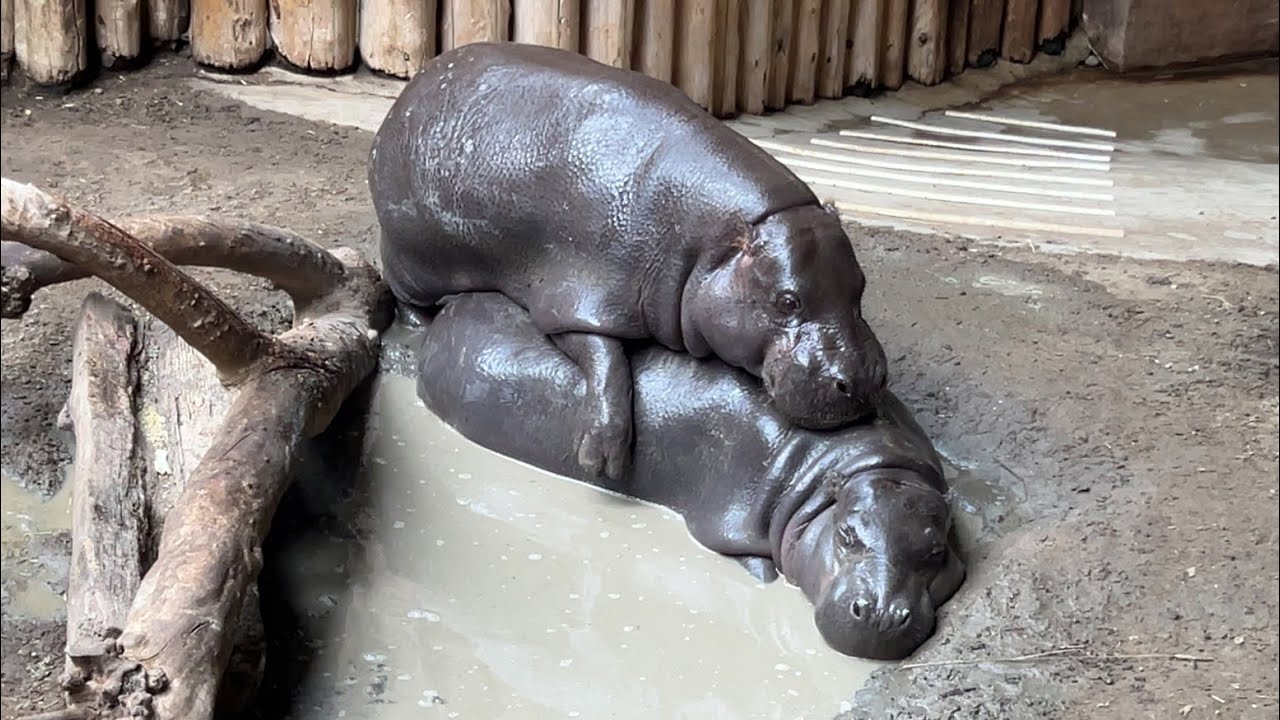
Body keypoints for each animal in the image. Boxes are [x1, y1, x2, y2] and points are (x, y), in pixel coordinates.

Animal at [370, 42, 888, 481]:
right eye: (786, 301)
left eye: (861, 287)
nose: (864, 380)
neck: (712, 243)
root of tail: (417, 81)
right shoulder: (578, 298)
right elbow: (608, 362)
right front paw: (602, 460)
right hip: (412, 255)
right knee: (403, 290)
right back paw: (415, 329)